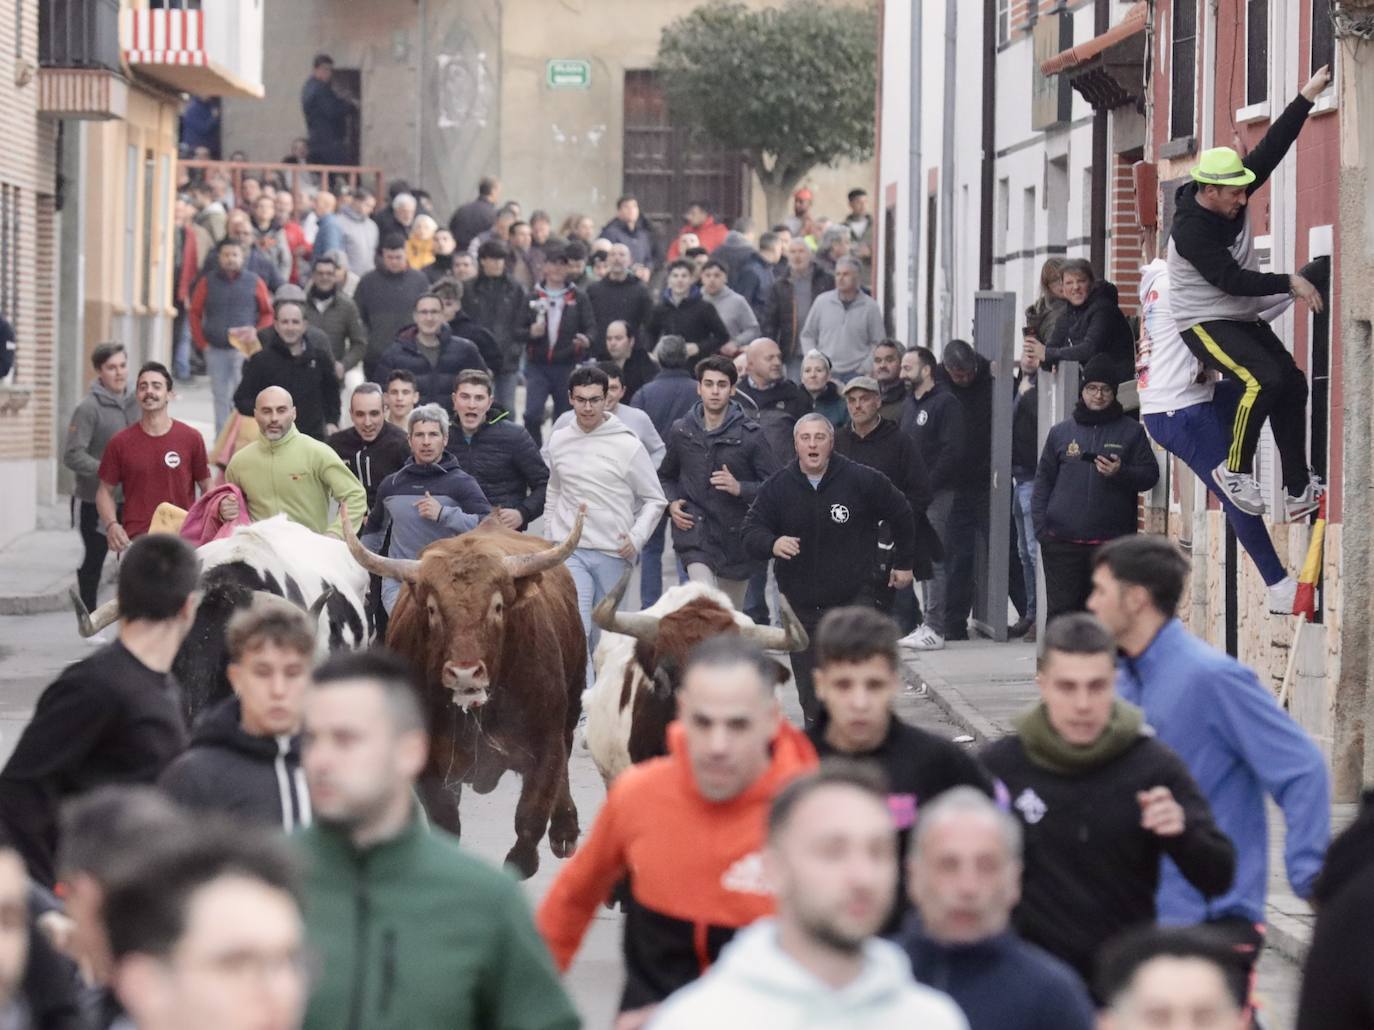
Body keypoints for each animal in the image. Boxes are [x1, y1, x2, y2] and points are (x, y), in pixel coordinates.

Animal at [346, 508, 588, 878]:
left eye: (498, 606)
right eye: (432, 609)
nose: (464, 672)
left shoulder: (546, 745)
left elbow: (528, 825)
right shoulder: (431, 766)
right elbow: (446, 824)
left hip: (571, 708)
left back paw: (565, 831)